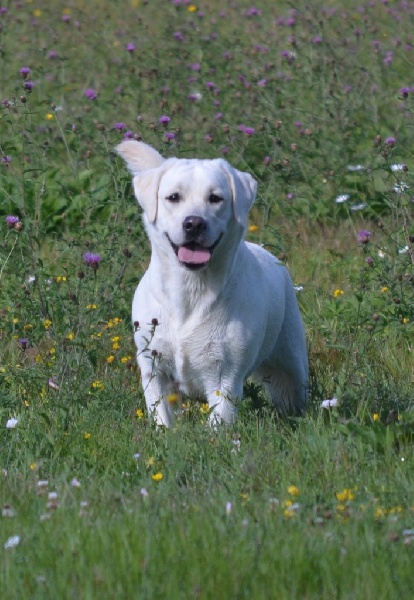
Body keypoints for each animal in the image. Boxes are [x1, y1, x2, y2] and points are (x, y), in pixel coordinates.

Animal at [116, 141, 308, 426]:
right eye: (173, 197)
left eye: (215, 198)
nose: (194, 223)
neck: (190, 289)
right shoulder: (154, 369)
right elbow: (161, 415)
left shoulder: (225, 377)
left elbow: (219, 421)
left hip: (291, 360)